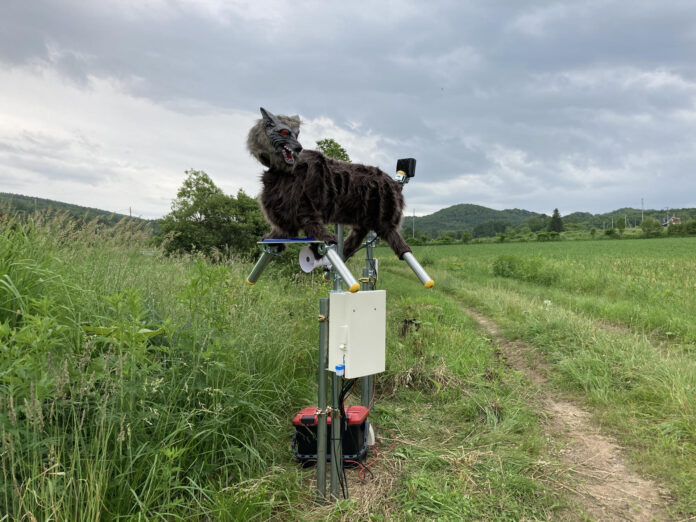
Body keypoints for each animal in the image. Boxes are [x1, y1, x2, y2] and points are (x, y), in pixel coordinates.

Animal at [247, 107, 412, 261]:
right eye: (284, 132)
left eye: (297, 133)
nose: (299, 148)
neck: (281, 172)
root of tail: (394, 183)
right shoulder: (286, 212)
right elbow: (282, 231)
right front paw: (272, 238)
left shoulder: (305, 207)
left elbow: (314, 226)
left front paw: (322, 244)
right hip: (364, 217)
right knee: (358, 233)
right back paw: (345, 250)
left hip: (384, 219)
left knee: (396, 240)